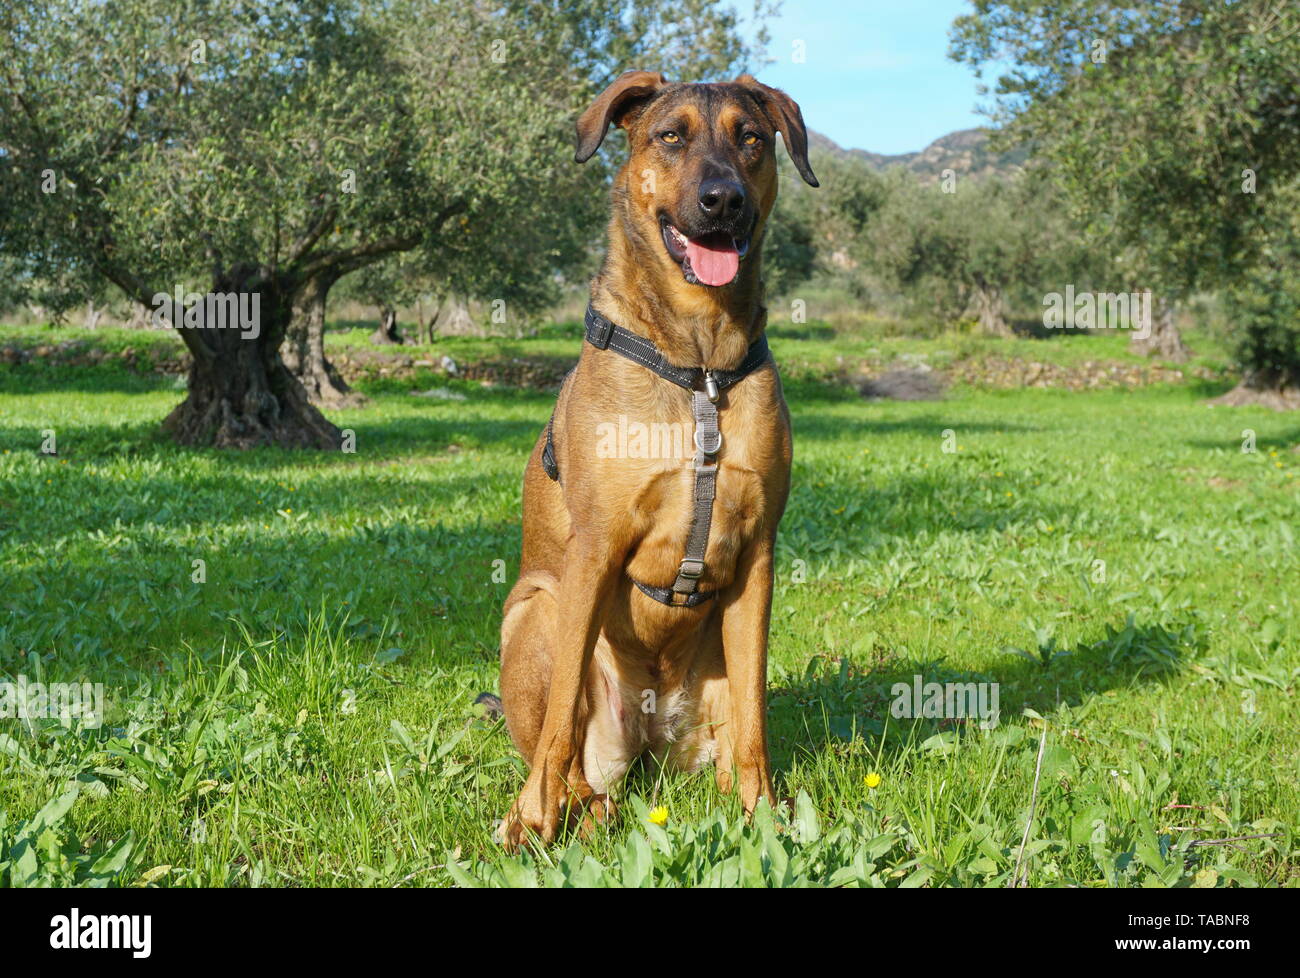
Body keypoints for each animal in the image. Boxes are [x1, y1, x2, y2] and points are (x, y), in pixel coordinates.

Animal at [493, 70, 811, 847]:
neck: (699, 364)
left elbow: (756, 717)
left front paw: (763, 816)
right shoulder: (594, 549)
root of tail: (650, 735)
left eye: (751, 139)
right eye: (671, 136)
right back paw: (573, 808)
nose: (723, 199)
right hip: (534, 611)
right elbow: (557, 719)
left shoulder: (759, 553)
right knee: (567, 749)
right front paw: (532, 817)